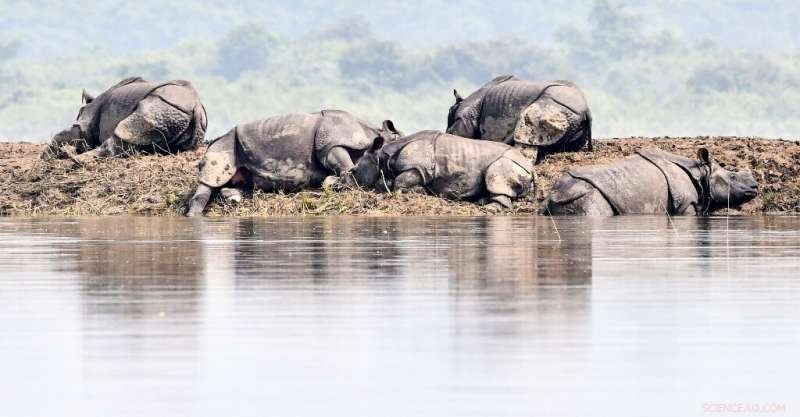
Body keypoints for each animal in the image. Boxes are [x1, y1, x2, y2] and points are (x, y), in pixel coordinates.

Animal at [43, 76, 207, 162]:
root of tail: (196, 108)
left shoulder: (86, 123)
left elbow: (74, 132)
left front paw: (45, 156)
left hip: (161, 105)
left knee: (123, 130)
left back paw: (76, 159)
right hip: (175, 113)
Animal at [185, 110, 401, 216]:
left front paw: (332, 182)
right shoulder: (330, 144)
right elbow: (343, 164)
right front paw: (342, 181)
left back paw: (234, 197)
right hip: (224, 143)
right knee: (213, 176)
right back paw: (193, 215)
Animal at [346, 130, 534, 211]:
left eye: (354, 171)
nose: (342, 186)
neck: (382, 157)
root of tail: (531, 167)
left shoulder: (418, 168)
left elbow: (400, 182)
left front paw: (421, 191)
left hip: (509, 162)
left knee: (496, 175)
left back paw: (489, 208)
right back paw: (482, 201)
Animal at [544, 148, 759, 216]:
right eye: (732, 177)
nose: (755, 186)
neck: (701, 174)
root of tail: (551, 196)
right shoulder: (685, 204)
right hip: (587, 195)